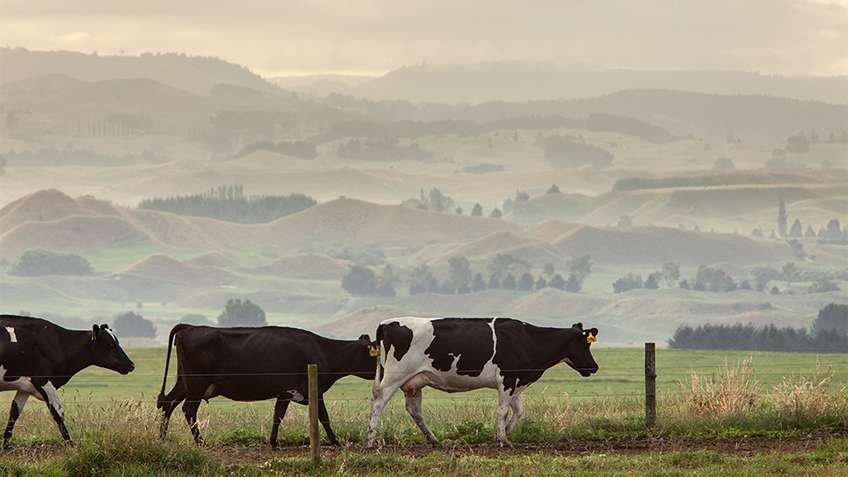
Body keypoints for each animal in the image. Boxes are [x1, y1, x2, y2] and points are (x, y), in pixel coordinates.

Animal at [0, 316, 136, 446]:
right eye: (110, 345)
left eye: (117, 342)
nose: (131, 365)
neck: (59, 344)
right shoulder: (43, 381)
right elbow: (58, 413)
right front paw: (71, 444)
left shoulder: (25, 386)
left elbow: (14, 412)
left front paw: (6, 445)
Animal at [155, 324, 378, 446]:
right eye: (375, 356)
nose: (382, 372)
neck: (324, 350)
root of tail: (189, 327)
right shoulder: (306, 390)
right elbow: (323, 417)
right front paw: (336, 441)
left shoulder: (287, 392)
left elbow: (278, 416)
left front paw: (273, 442)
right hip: (196, 384)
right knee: (187, 409)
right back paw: (200, 442)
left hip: (184, 383)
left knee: (168, 403)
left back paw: (162, 438)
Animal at [368, 316, 600, 446]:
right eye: (585, 344)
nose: (594, 367)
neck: (527, 340)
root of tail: (386, 323)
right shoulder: (506, 378)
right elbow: (503, 410)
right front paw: (503, 440)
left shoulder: (515, 382)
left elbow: (519, 410)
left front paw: (505, 433)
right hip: (394, 375)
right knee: (378, 402)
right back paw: (371, 440)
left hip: (414, 382)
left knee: (414, 410)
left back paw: (434, 440)